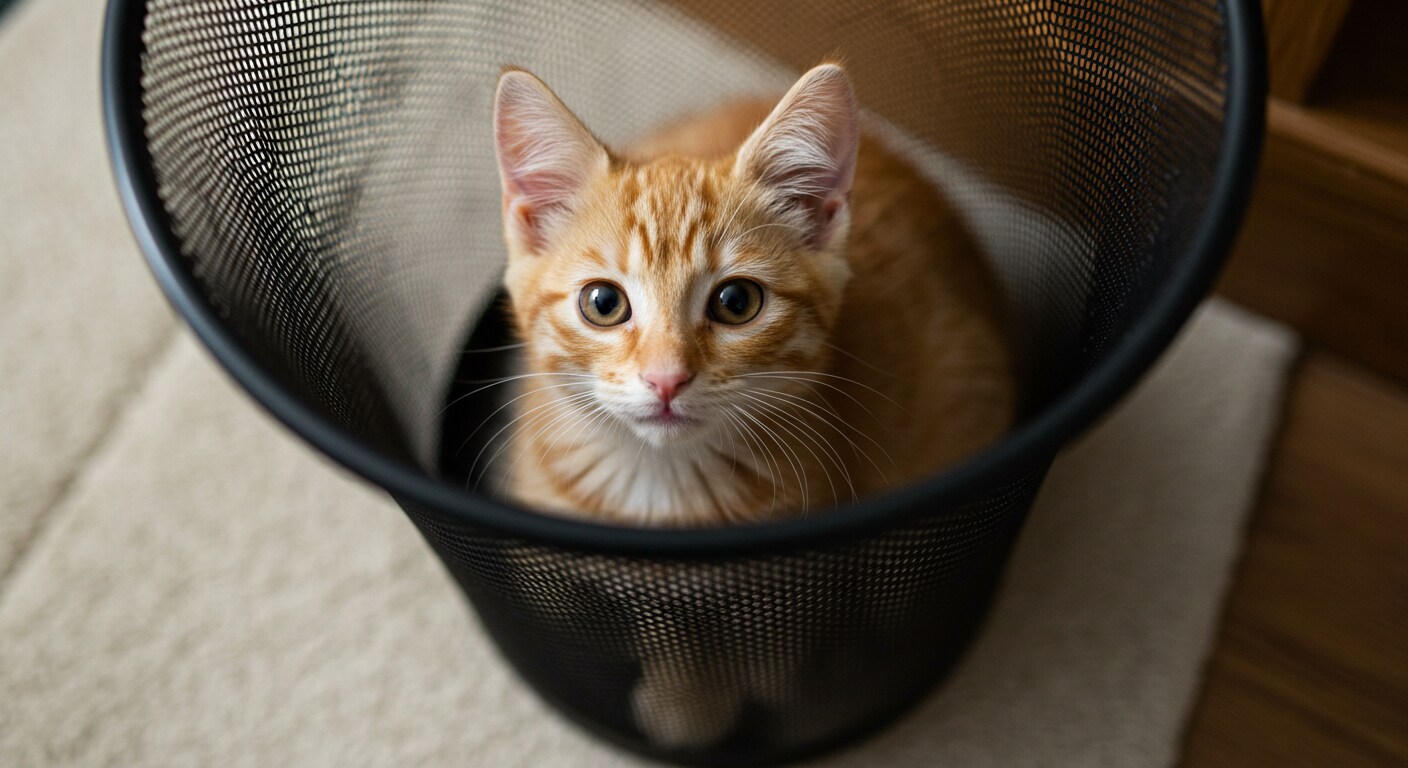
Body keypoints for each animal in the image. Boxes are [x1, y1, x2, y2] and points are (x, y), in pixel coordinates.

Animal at [489, 63, 1013, 748]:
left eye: (736, 302)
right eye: (603, 303)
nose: (666, 378)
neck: (666, 488)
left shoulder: (803, 558)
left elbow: (770, 638)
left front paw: (766, 692)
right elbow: (666, 630)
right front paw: (686, 700)